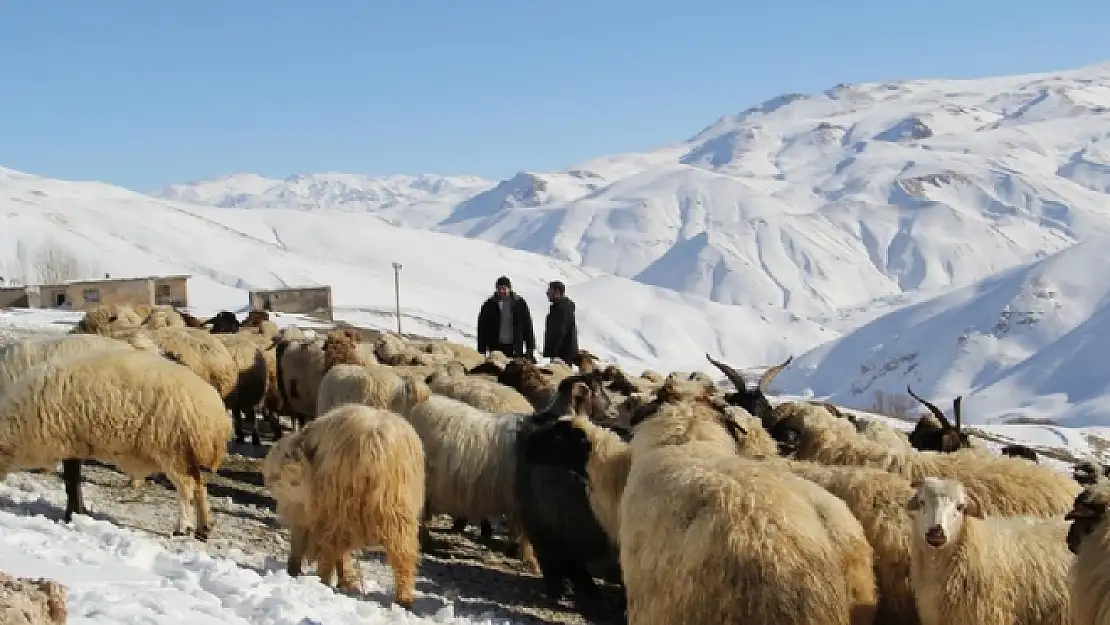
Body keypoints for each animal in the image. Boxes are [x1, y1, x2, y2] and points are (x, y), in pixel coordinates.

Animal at [0, 350, 231, 539]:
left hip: (170, 446)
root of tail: (216, 415)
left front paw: (73, 515)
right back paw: (204, 528)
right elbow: (74, 482)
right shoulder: (76, 445)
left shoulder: (70, 442)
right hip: (184, 451)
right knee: (199, 484)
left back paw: (183, 527)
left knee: (186, 485)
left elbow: (71, 483)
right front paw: (78, 513)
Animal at [261, 404, 426, 608]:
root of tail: (373, 444)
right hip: (397, 513)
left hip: (339, 505)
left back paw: (322, 581)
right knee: (403, 556)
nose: (270, 482)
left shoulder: (306, 510)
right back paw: (404, 599)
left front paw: (296, 570)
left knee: (331, 547)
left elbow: (301, 541)